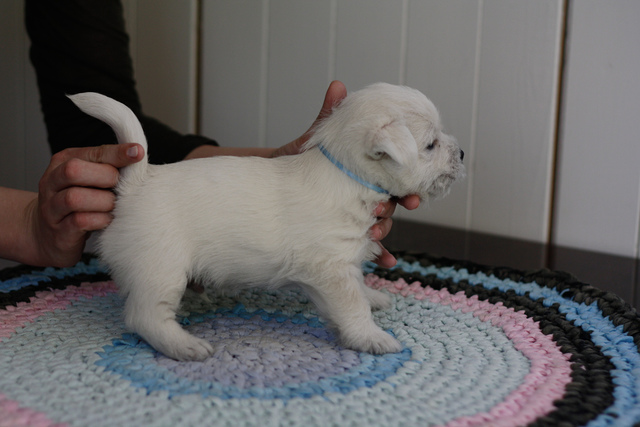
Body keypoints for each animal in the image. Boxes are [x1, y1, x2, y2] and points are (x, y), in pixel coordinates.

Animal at [69, 83, 464, 362]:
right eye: (430, 145)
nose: (461, 152)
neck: (345, 172)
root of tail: (135, 183)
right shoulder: (330, 269)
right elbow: (353, 306)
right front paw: (372, 337)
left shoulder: (341, 263)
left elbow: (359, 287)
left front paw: (374, 296)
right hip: (160, 270)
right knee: (144, 317)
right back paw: (185, 346)